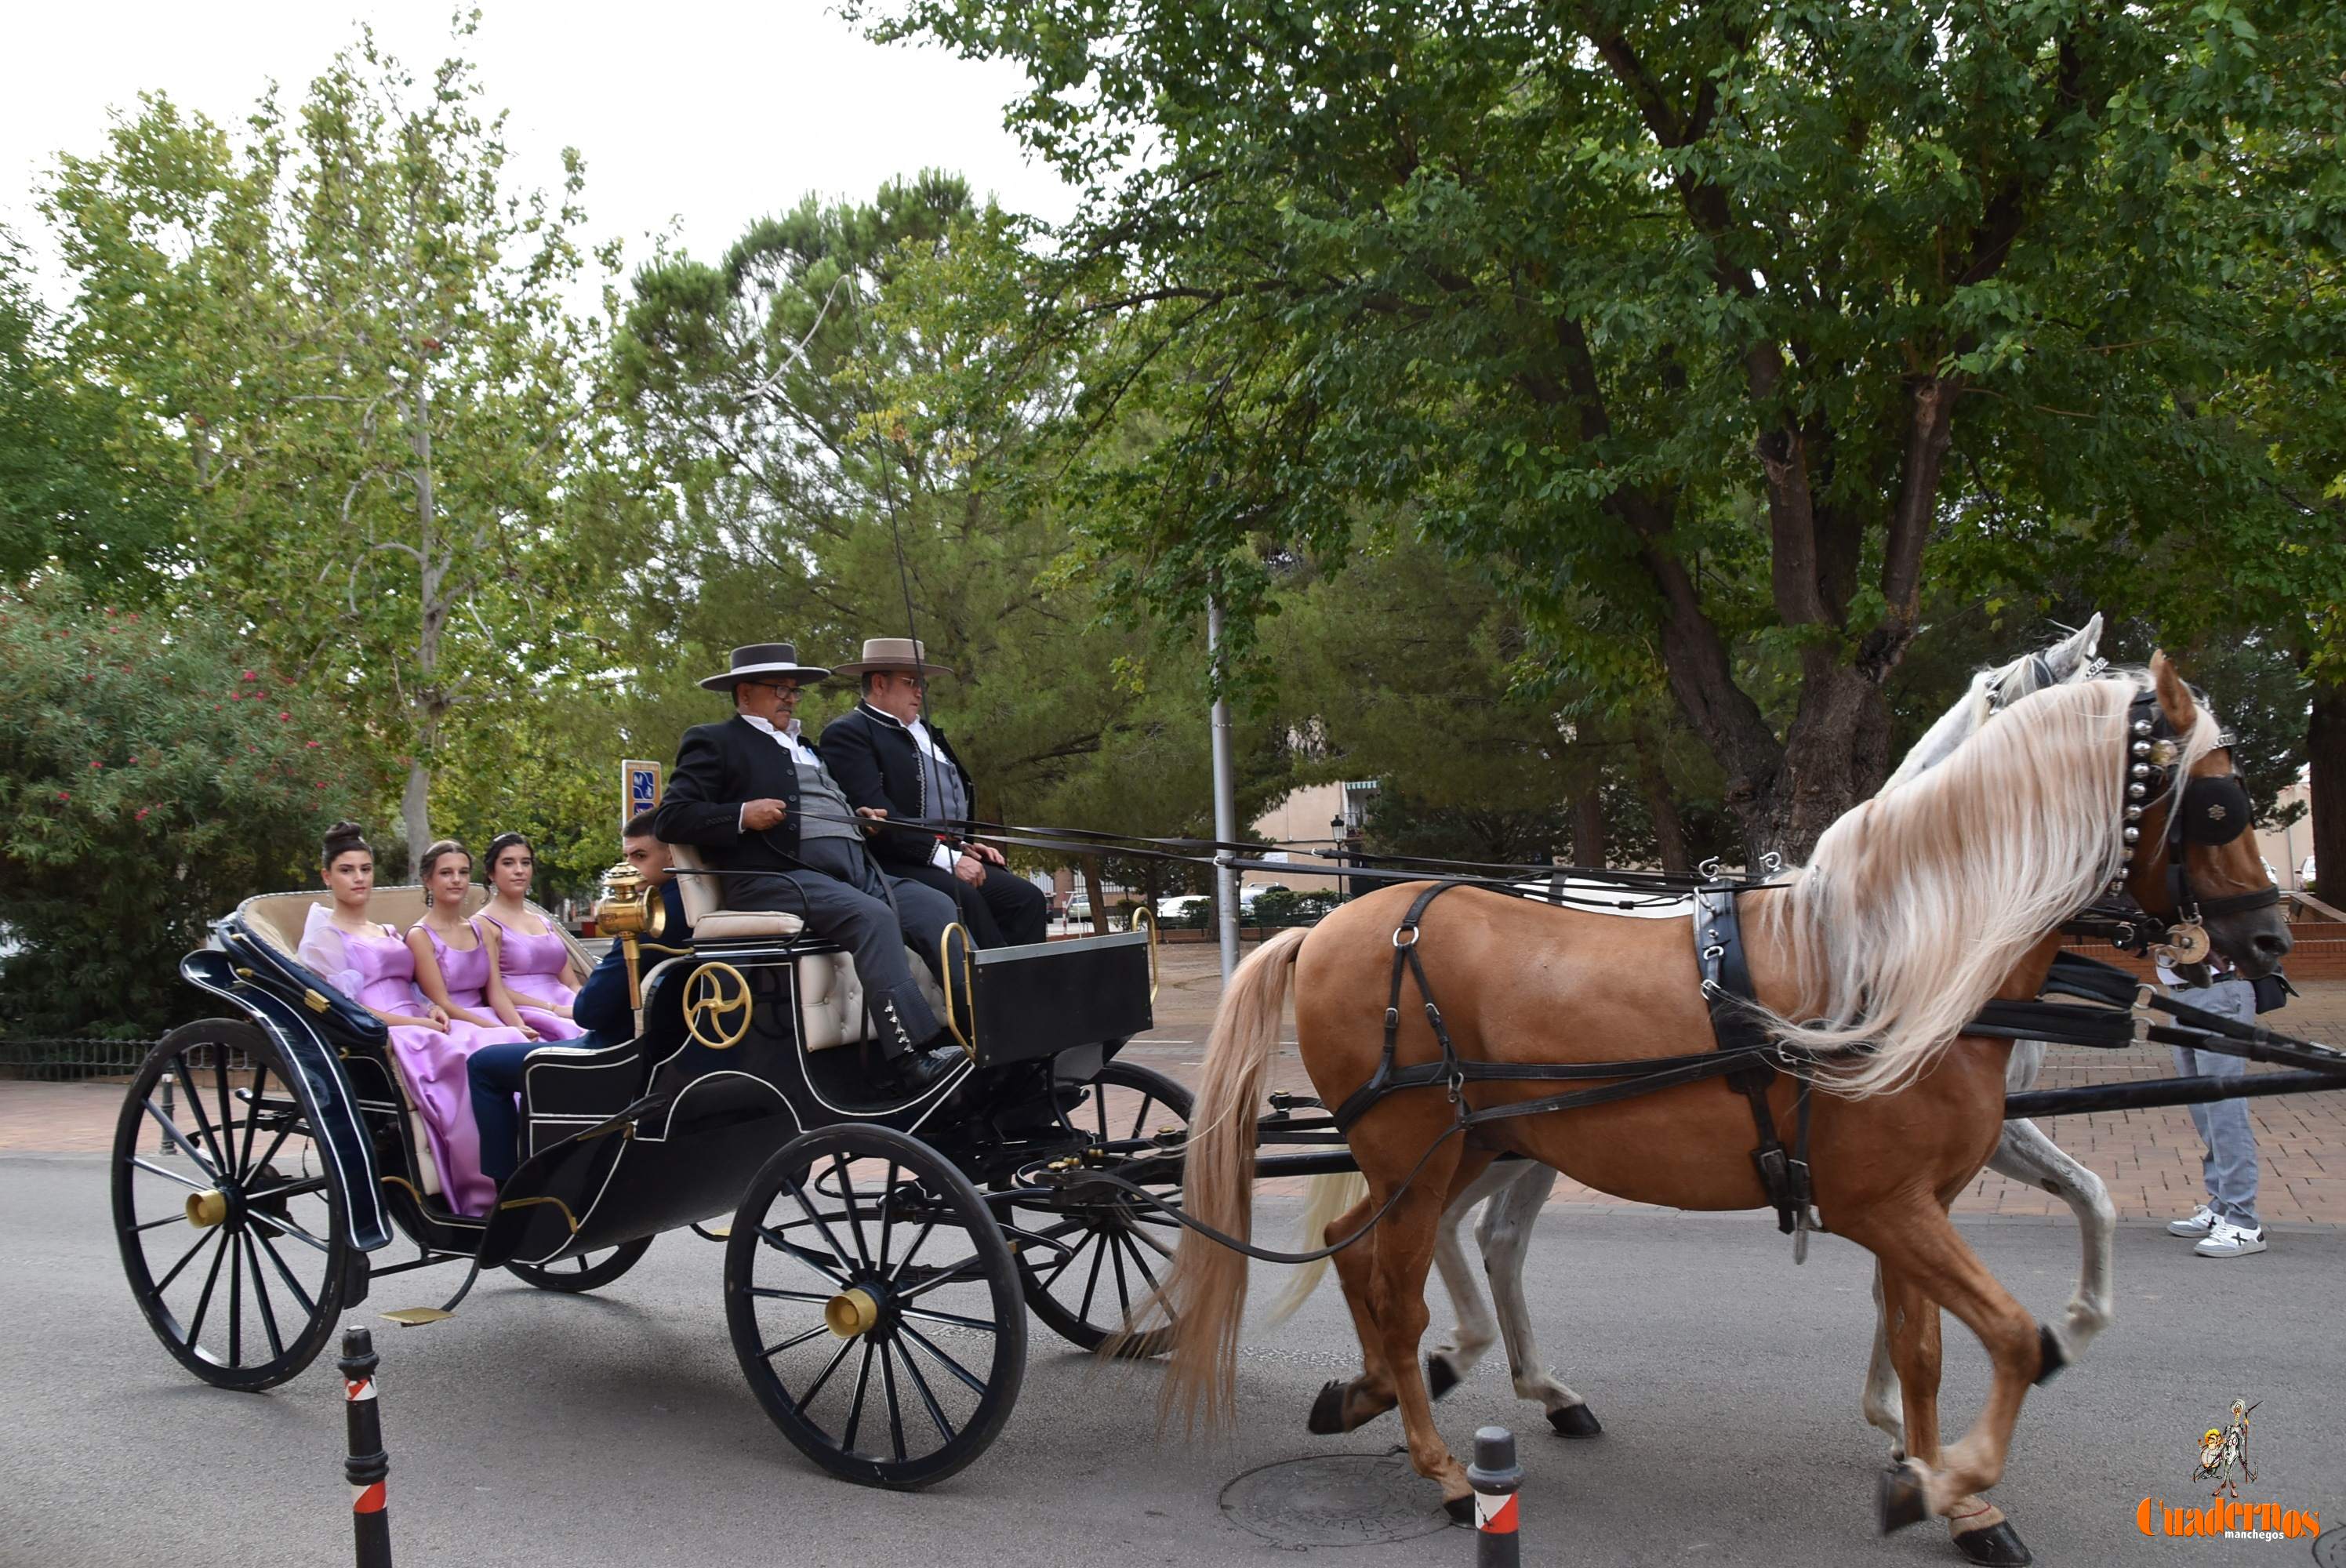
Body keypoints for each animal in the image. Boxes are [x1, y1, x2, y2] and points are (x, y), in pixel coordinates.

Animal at [1154, 657, 2290, 1559]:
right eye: (2221, 804)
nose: (2270, 941)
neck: (1903, 954)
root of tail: (1335, 923)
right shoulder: (1889, 1205)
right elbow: (2008, 1337)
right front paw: (1956, 1475)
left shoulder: (1916, 1203)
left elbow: (1926, 1342)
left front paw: (1930, 1472)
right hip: (1423, 1152)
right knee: (1401, 1289)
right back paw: (1439, 1455)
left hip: (1466, 1150)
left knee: (1377, 1252)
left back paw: (1388, 1390)